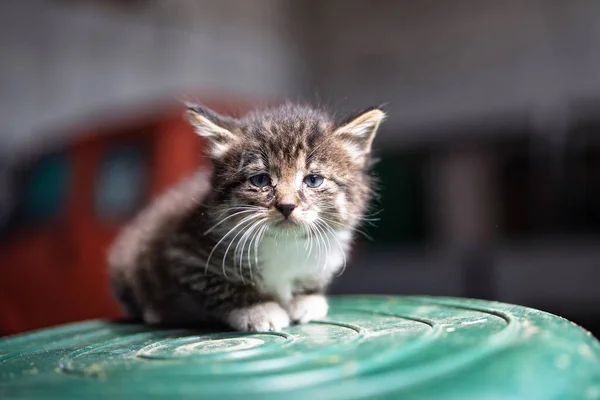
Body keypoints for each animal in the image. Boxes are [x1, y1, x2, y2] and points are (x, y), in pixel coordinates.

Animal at [108, 101, 384, 332]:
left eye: (313, 180)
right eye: (260, 180)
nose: (287, 206)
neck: (284, 244)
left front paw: (307, 300)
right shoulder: (185, 254)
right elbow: (223, 287)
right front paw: (257, 309)